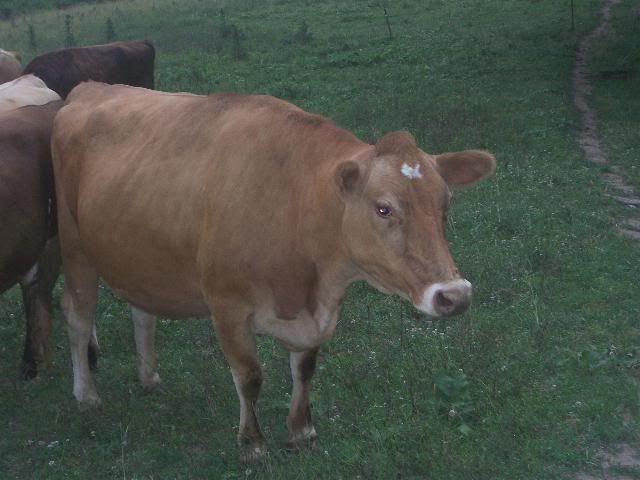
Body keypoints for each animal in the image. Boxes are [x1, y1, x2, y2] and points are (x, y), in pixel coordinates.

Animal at [51, 82, 496, 461]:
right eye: (383, 208)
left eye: (445, 202)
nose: (455, 295)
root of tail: (90, 88)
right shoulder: (227, 306)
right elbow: (249, 376)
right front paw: (252, 443)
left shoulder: (312, 314)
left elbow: (304, 369)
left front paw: (301, 432)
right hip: (73, 245)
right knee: (77, 314)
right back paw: (86, 395)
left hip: (138, 252)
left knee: (142, 312)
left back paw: (149, 377)